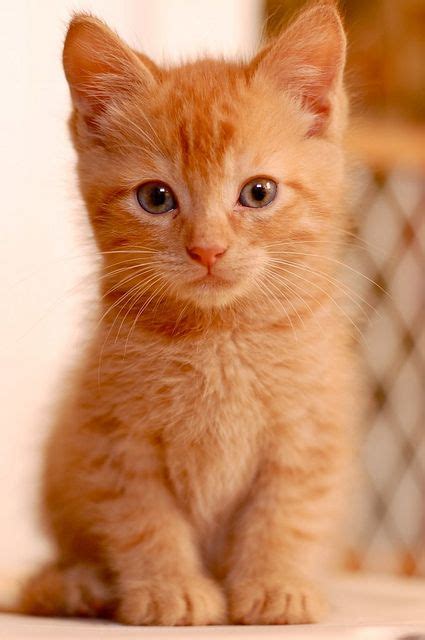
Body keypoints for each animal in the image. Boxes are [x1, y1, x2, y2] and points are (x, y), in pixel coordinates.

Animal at [17, 2, 354, 628]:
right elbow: (145, 520)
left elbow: (285, 513)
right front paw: (169, 588)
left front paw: (274, 584)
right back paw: (72, 585)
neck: (217, 337)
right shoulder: (114, 440)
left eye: (259, 192)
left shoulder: (308, 432)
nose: (207, 249)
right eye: (156, 198)